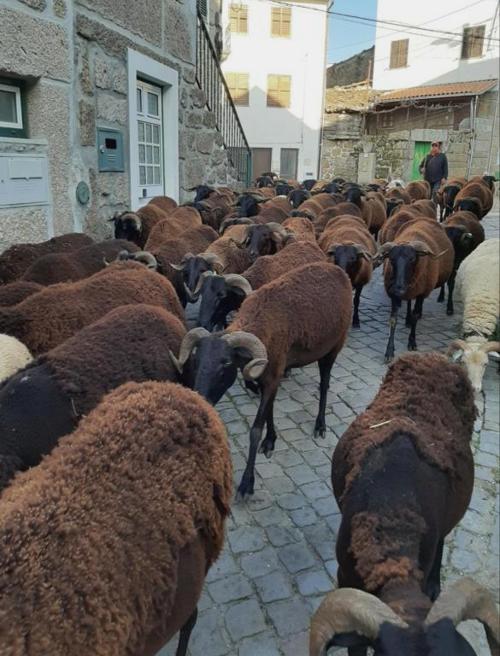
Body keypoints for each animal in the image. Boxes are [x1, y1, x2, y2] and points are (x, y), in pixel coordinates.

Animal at [171, 261, 352, 497]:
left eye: (226, 363)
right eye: (197, 359)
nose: (200, 400)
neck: (261, 322)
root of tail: (338, 270)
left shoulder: (273, 376)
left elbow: (256, 430)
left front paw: (247, 482)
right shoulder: (268, 377)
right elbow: (269, 412)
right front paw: (270, 440)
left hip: (334, 347)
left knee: (324, 384)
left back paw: (320, 425)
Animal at [376, 218, 453, 361]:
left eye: (412, 259)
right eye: (392, 259)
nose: (399, 287)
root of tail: (424, 219)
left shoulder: (421, 293)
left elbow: (415, 317)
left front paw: (412, 342)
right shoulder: (394, 295)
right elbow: (393, 320)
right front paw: (389, 351)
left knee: (451, 284)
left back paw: (449, 308)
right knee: (409, 303)